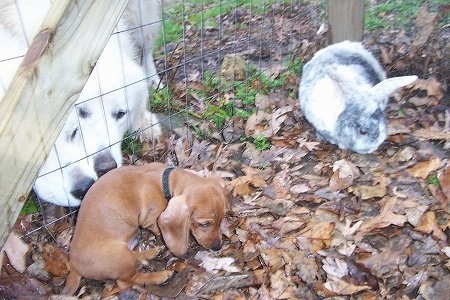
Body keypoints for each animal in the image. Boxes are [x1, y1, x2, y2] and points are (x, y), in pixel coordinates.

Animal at [0, 0, 165, 206]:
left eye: (120, 114)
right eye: (81, 112)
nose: (106, 167)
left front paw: (143, 121)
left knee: (146, 44)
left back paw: (153, 80)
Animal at [62, 163, 229, 294]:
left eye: (222, 219)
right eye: (203, 224)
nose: (217, 247)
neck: (165, 181)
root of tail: (74, 265)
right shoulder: (151, 220)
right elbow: (161, 232)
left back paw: (150, 253)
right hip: (120, 256)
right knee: (126, 282)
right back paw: (160, 276)